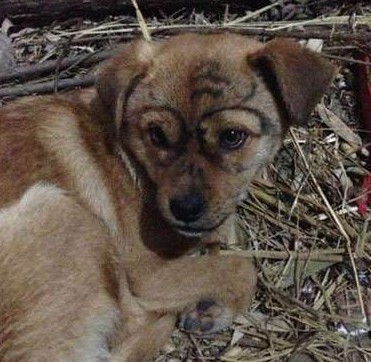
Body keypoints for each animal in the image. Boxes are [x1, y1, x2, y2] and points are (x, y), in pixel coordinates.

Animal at [0, 32, 338, 360]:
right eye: (157, 135)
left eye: (232, 136)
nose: (185, 210)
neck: (132, 161)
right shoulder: (146, 274)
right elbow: (241, 267)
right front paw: (214, 308)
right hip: (60, 208)